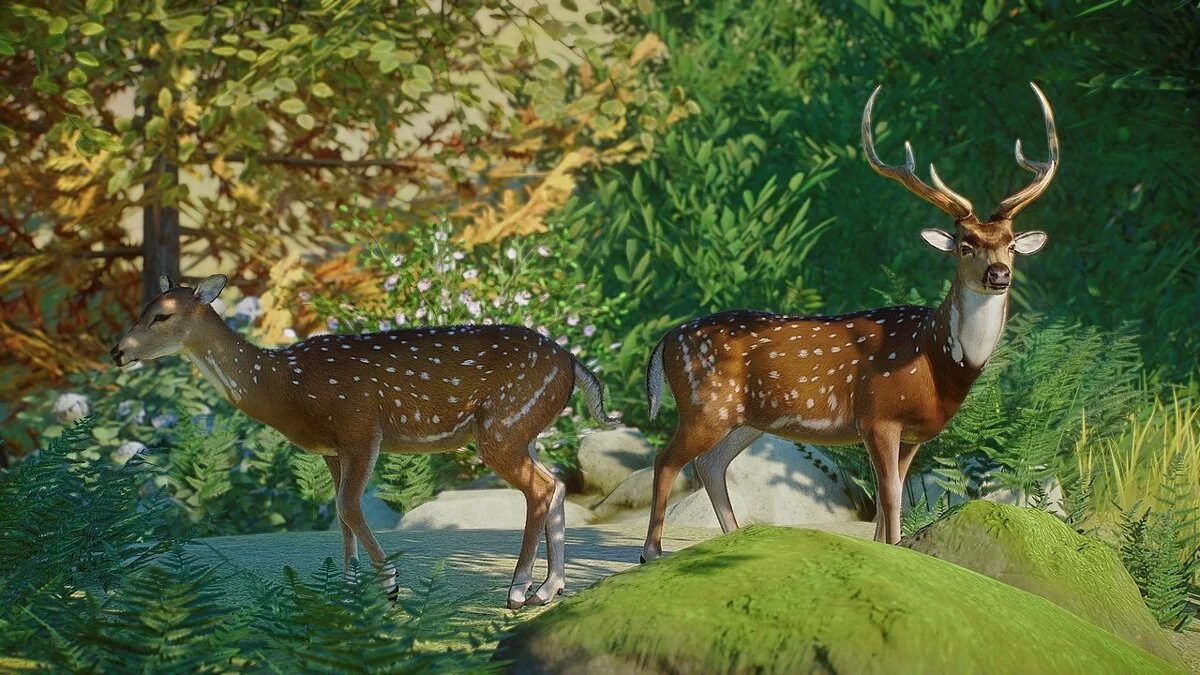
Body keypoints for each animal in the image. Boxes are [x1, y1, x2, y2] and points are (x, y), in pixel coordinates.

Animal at [111, 274, 617, 609]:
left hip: (503, 425)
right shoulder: (331, 450)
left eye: (162, 315)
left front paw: (390, 584)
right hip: (524, 428)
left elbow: (350, 507)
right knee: (557, 485)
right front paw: (348, 587)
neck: (284, 386)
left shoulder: (360, 428)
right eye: (141, 308)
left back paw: (516, 591)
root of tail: (573, 363)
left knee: (539, 489)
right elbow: (338, 514)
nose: (117, 351)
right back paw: (551, 588)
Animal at [640, 82, 1058, 561]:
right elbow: (890, 497)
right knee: (666, 459)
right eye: (965, 245)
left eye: (1010, 244)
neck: (936, 359)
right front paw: (895, 550)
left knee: (710, 463)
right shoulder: (877, 414)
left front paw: (887, 551)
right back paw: (652, 551)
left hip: (743, 418)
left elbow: (891, 497)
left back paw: (733, 537)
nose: (999, 274)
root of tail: (666, 340)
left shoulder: (913, 433)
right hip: (703, 404)